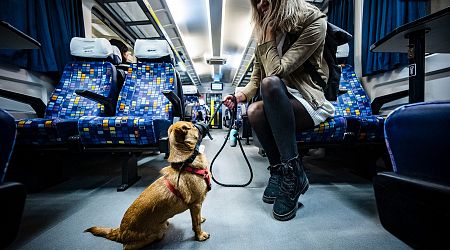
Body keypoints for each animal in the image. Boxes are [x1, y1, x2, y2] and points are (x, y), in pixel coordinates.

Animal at [86, 120, 211, 248]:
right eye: (193, 125)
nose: (204, 121)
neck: (187, 163)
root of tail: (120, 232)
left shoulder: (196, 207)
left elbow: (197, 218)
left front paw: (200, 219)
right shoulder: (196, 204)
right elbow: (196, 223)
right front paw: (200, 235)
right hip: (156, 233)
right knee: (129, 246)